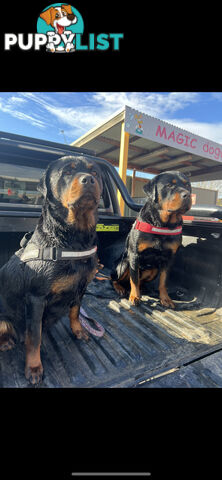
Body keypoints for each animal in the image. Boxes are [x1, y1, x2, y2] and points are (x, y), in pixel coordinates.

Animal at [0, 156, 103, 384]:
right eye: (67, 172)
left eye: (95, 172)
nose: (89, 179)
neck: (73, 240)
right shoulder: (36, 298)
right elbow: (34, 337)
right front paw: (34, 367)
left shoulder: (81, 288)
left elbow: (74, 312)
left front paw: (78, 331)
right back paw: (5, 341)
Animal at [112, 171, 192, 310]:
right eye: (169, 185)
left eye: (188, 185)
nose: (187, 194)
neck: (162, 224)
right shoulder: (134, 255)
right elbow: (134, 279)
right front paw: (134, 296)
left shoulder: (169, 258)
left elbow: (163, 281)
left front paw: (165, 299)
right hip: (124, 264)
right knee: (114, 279)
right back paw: (120, 288)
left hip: (153, 270)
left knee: (142, 280)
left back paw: (143, 288)